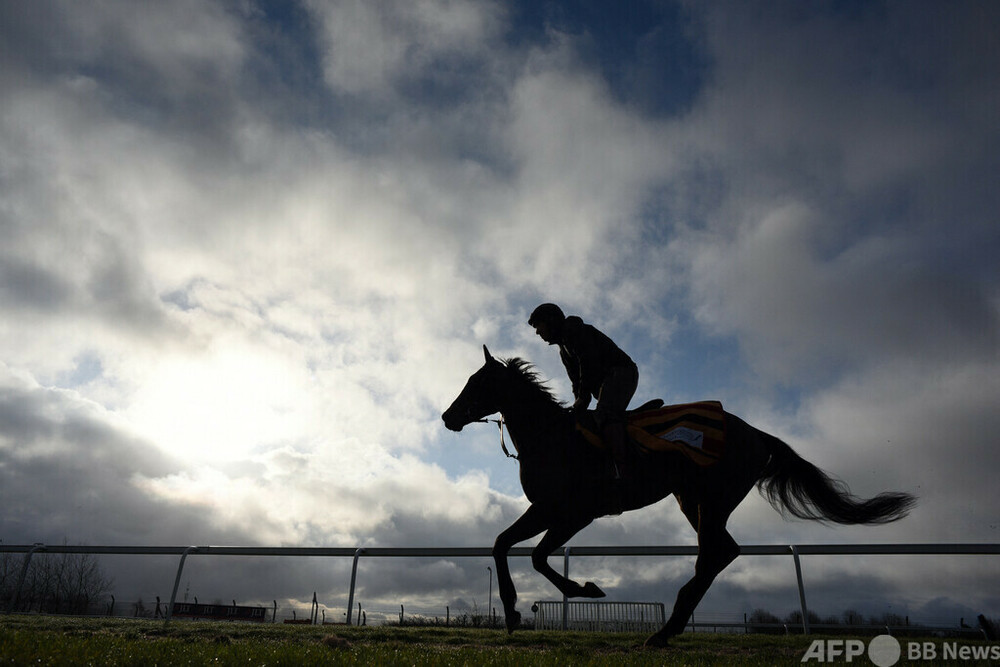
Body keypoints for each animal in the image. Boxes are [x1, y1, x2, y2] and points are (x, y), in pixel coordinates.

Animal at [440, 348, 916, 648]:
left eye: (477, 382)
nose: (447, 416)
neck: (552, 438)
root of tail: (756, 433)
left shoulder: (576, 512)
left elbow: (537, 555)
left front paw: (584, 589)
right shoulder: (549, 509)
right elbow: (502, 544)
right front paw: (513, 613)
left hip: (712, 498)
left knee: (713, 555)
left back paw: (665, 631)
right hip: (694, 501)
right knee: (723, 551)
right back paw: (670, 627)